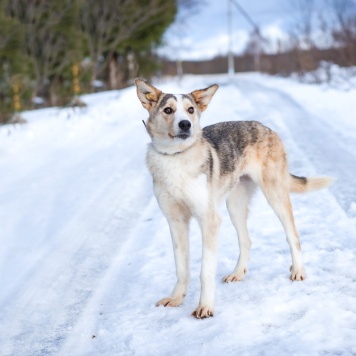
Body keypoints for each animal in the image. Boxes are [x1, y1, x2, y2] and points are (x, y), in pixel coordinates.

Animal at [135, 79, 332, 318]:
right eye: (168, 110)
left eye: (190, 110)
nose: (185, 125)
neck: (176, 157)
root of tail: (268, 128)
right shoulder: (176, 221)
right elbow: (181, 268)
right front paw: (175, 299)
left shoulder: (209, 221)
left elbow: (205, 270)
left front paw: (205, 307)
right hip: (234, 205)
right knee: (246, 240)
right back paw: (237, 274)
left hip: (274, 195)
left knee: (293, 235)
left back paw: (298, 271)